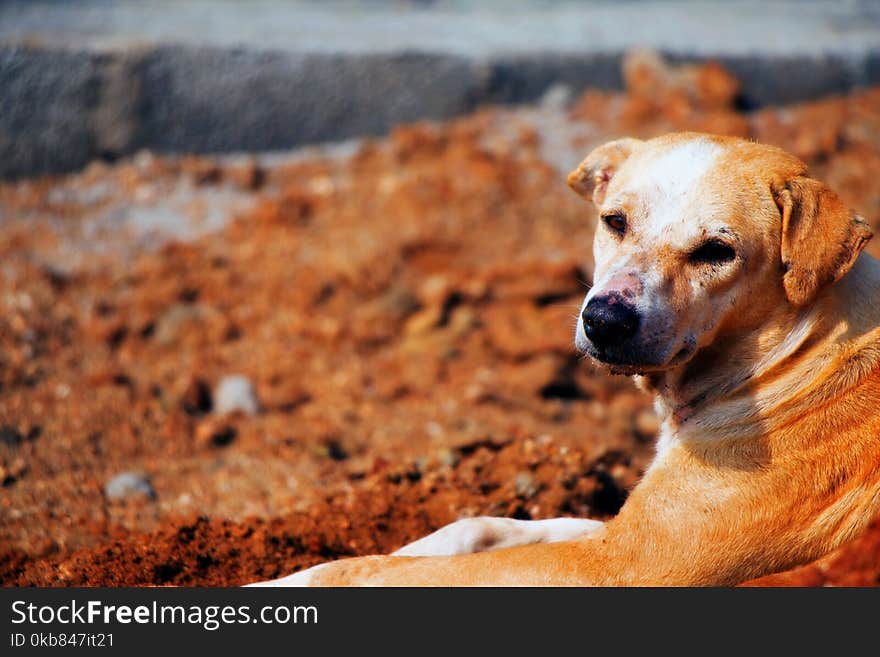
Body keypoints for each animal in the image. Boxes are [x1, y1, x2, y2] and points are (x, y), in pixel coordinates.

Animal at [249, 132, 880, 584]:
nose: (604, 321)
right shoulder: (616, 534)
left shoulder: (619, 564)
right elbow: (475, 527)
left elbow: (365, 571)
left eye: (716, 251)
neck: (797, 352)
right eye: (614, 221)